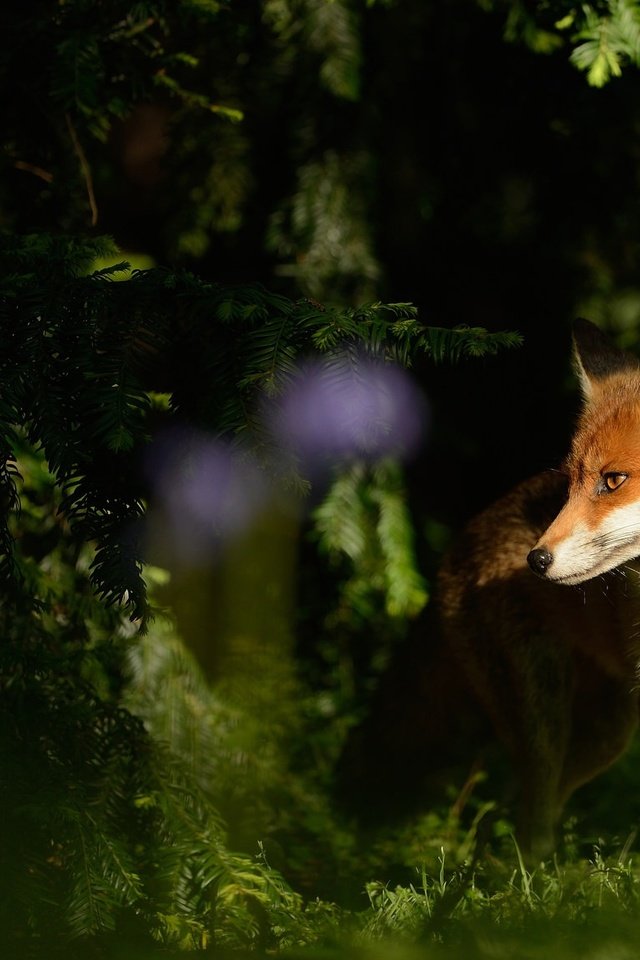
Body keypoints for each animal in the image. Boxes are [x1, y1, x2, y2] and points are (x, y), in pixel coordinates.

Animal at [340, 318, 640, 860]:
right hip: (547, 720)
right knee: (528, 817)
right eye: (570, 484)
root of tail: (455, 549)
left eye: (613, 480)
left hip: (605, 732)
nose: (536, 561)